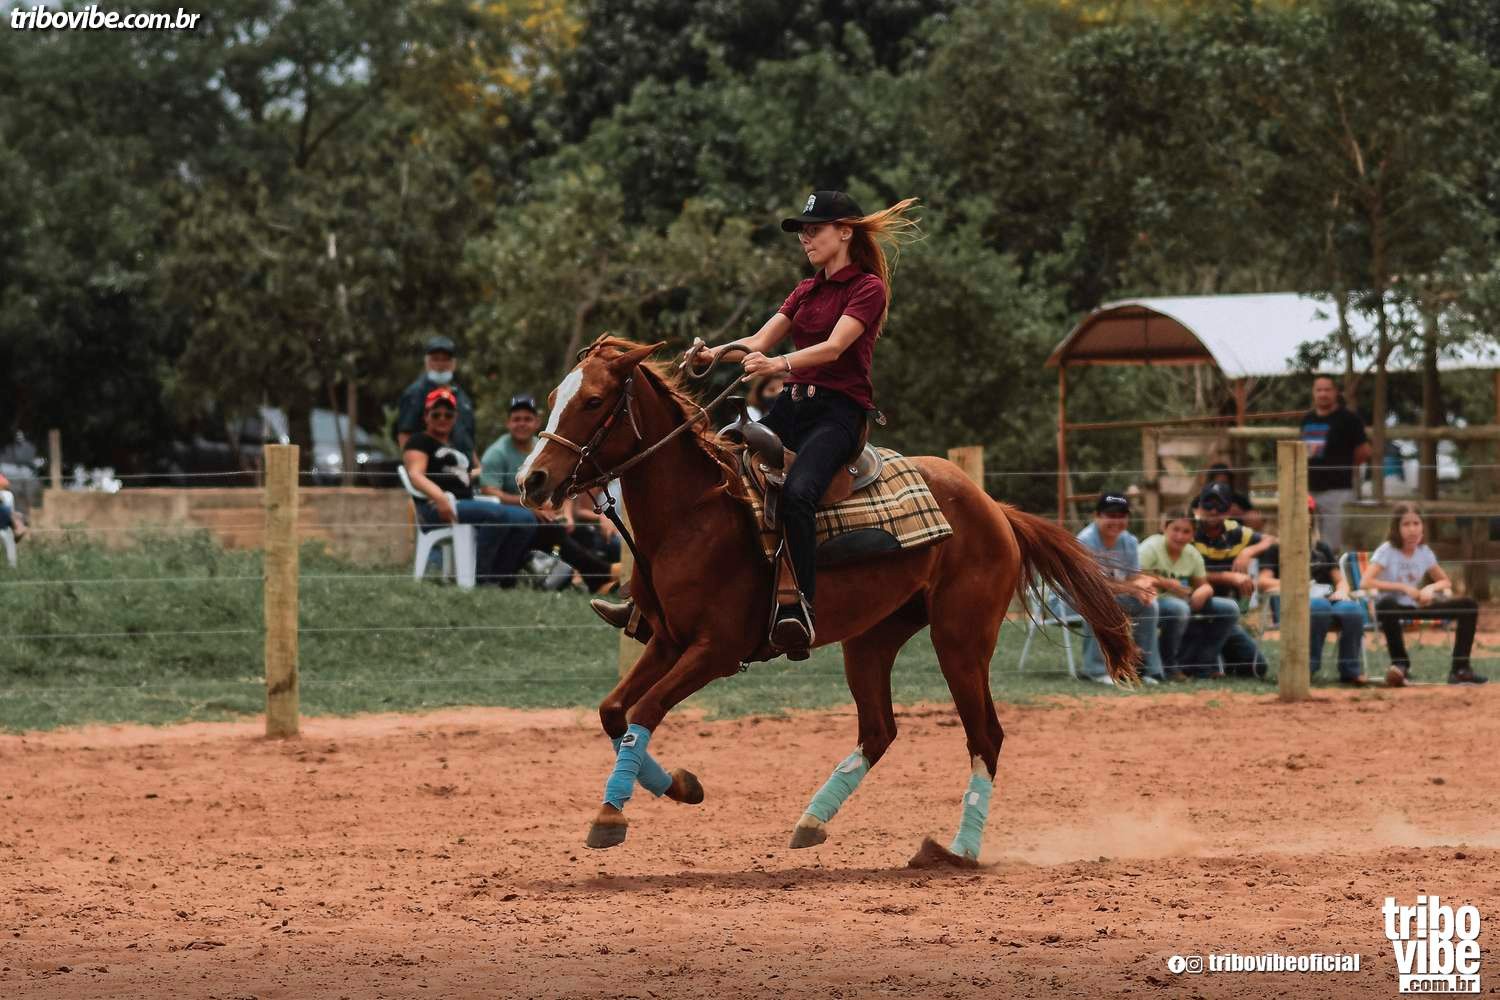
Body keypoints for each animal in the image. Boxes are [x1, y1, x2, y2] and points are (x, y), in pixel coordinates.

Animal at [518, 336, 1137, 864]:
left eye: (593, 400)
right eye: (551, 399)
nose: (532, 481)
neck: (694, 514)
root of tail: (994, 508)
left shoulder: (716, 651)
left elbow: (643, 710)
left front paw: (610, 815)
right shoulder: (668, 642)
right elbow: (613, 711)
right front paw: (680, 786)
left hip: (961, 639)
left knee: (985, 735)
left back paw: (956, 851)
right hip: (872, 639)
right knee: (878, 731)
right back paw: (812, 820)